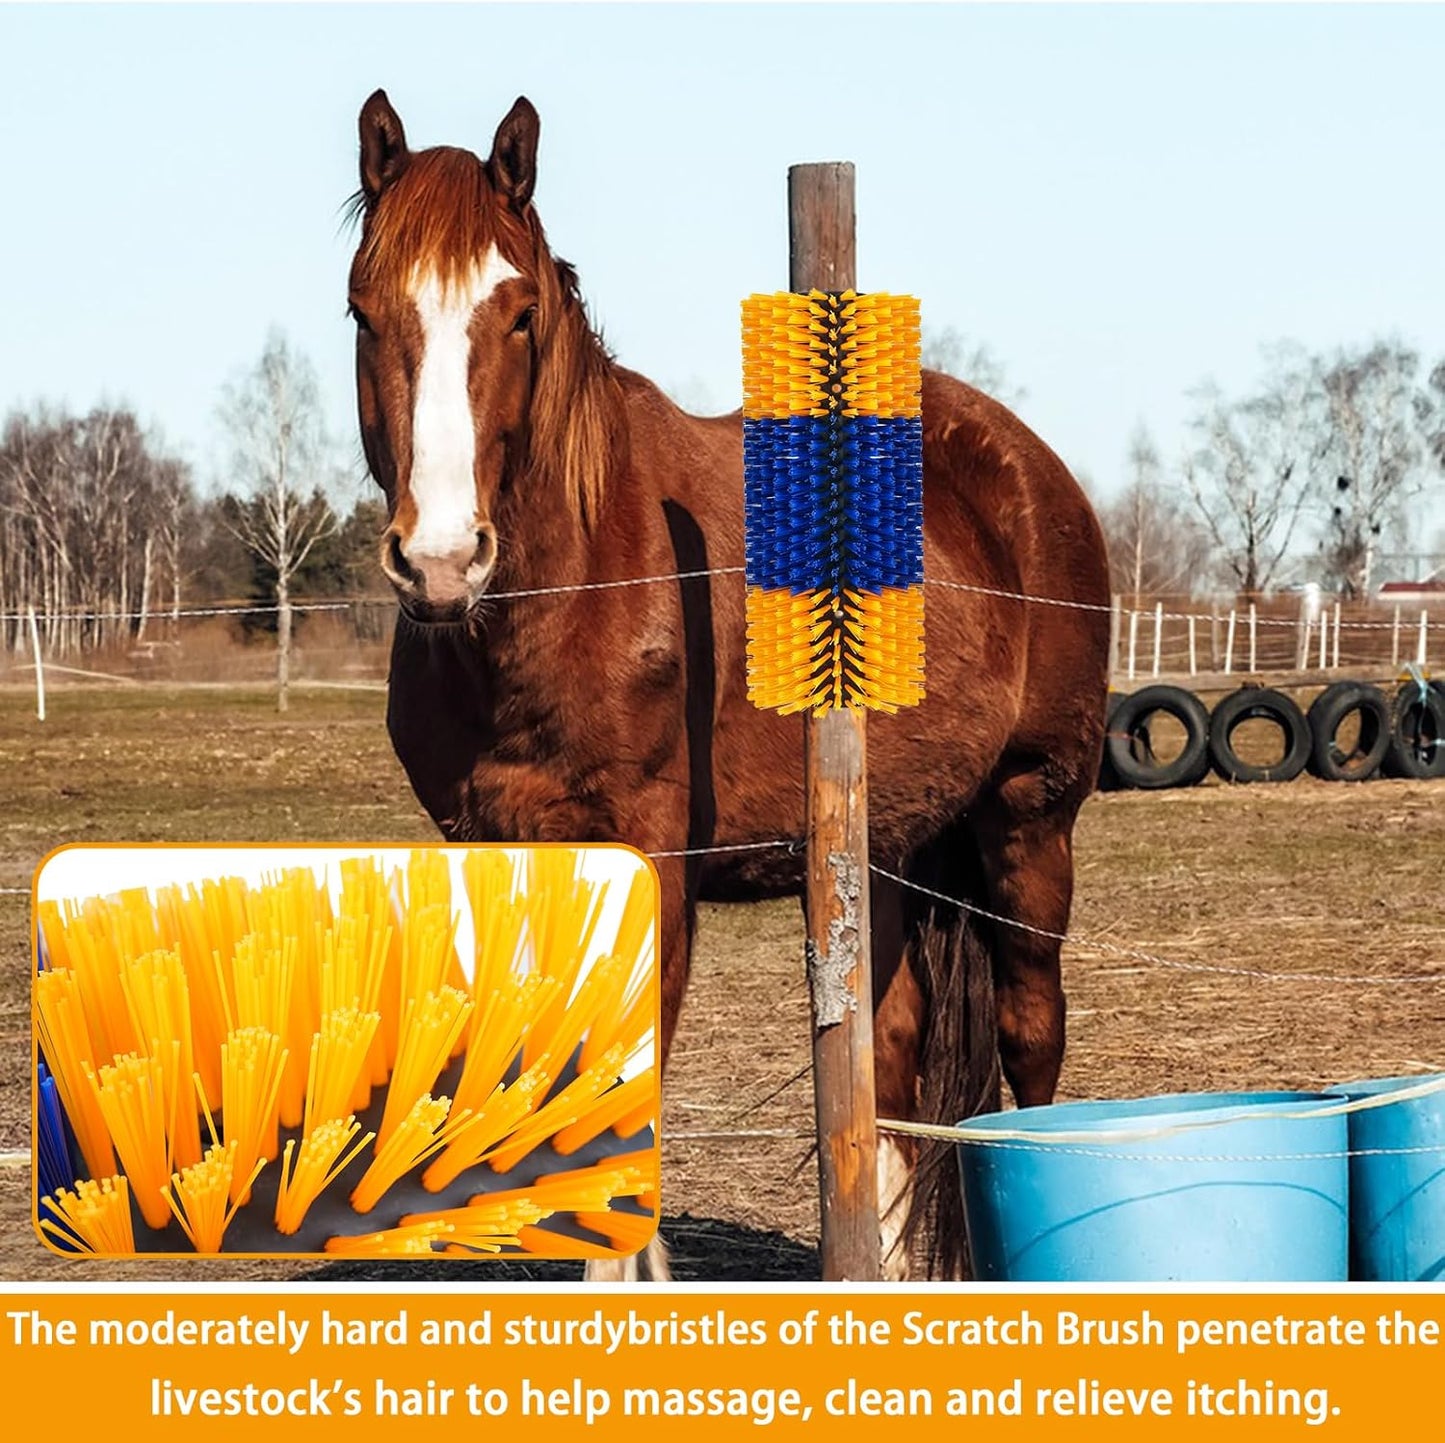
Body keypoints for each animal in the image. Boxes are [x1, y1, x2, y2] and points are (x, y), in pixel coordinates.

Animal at [347, 90, 1111, 1280]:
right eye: (364, 314)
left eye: (518, 315)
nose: (438, 561)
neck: (578, 585)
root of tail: (1021, 465)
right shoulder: (499, 852)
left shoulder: (652, 861)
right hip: (882, 850)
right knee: (888, 1066)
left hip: (1030, 819)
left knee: (1032, 1042)